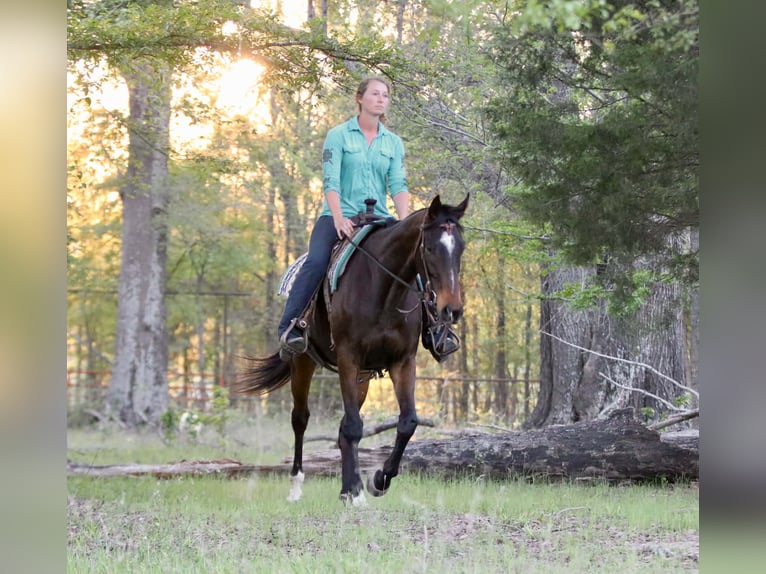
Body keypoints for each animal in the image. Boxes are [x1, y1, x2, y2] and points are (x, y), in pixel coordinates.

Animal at [236, 194, 469, 506]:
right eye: (430, 248)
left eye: (461, 248)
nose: (451, 310)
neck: (383, 288)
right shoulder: (348, 358)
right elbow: (354, 426)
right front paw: (358, 490)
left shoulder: (403, 362)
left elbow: (406, 422)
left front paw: (377, 480)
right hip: (304, 362)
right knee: (301, 419)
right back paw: (297, 487)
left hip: (363, 377)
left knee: (343, 427)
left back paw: (346, 489)